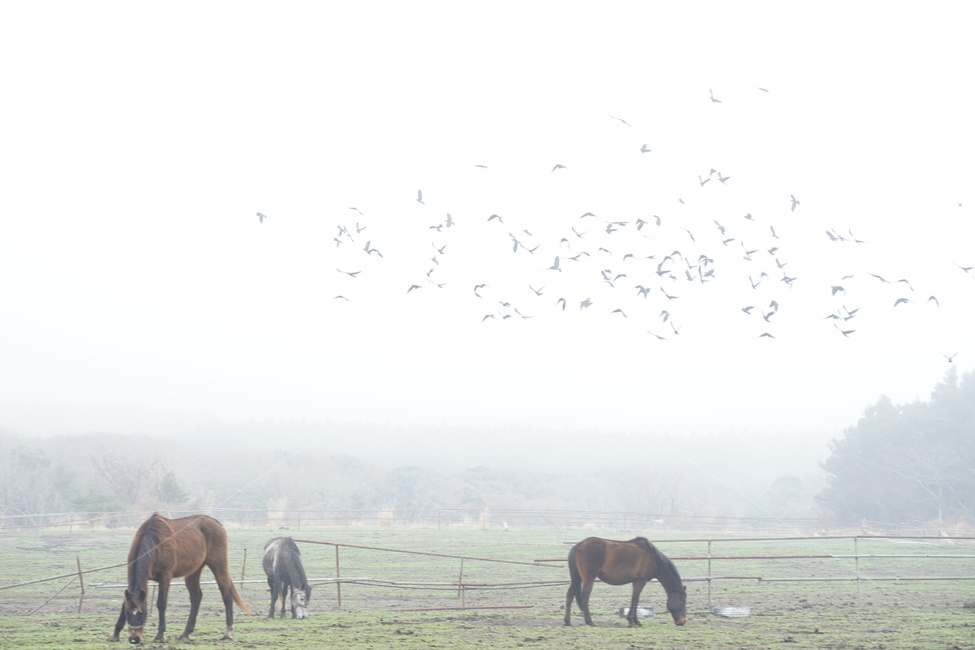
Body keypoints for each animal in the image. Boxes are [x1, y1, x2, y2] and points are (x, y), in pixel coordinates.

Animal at [111, 513, 250, 644]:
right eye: (127, 613)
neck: (155, 542)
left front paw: (160, 635)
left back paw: (228, 632)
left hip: (219, 566)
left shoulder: (165, 577)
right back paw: (186, 633)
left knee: (226, 595)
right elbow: (124, 603)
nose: (134, 639)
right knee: (196, 597)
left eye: (143, 613)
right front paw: (115, 634)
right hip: (193, 572)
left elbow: (161, 603)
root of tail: (215, 522)